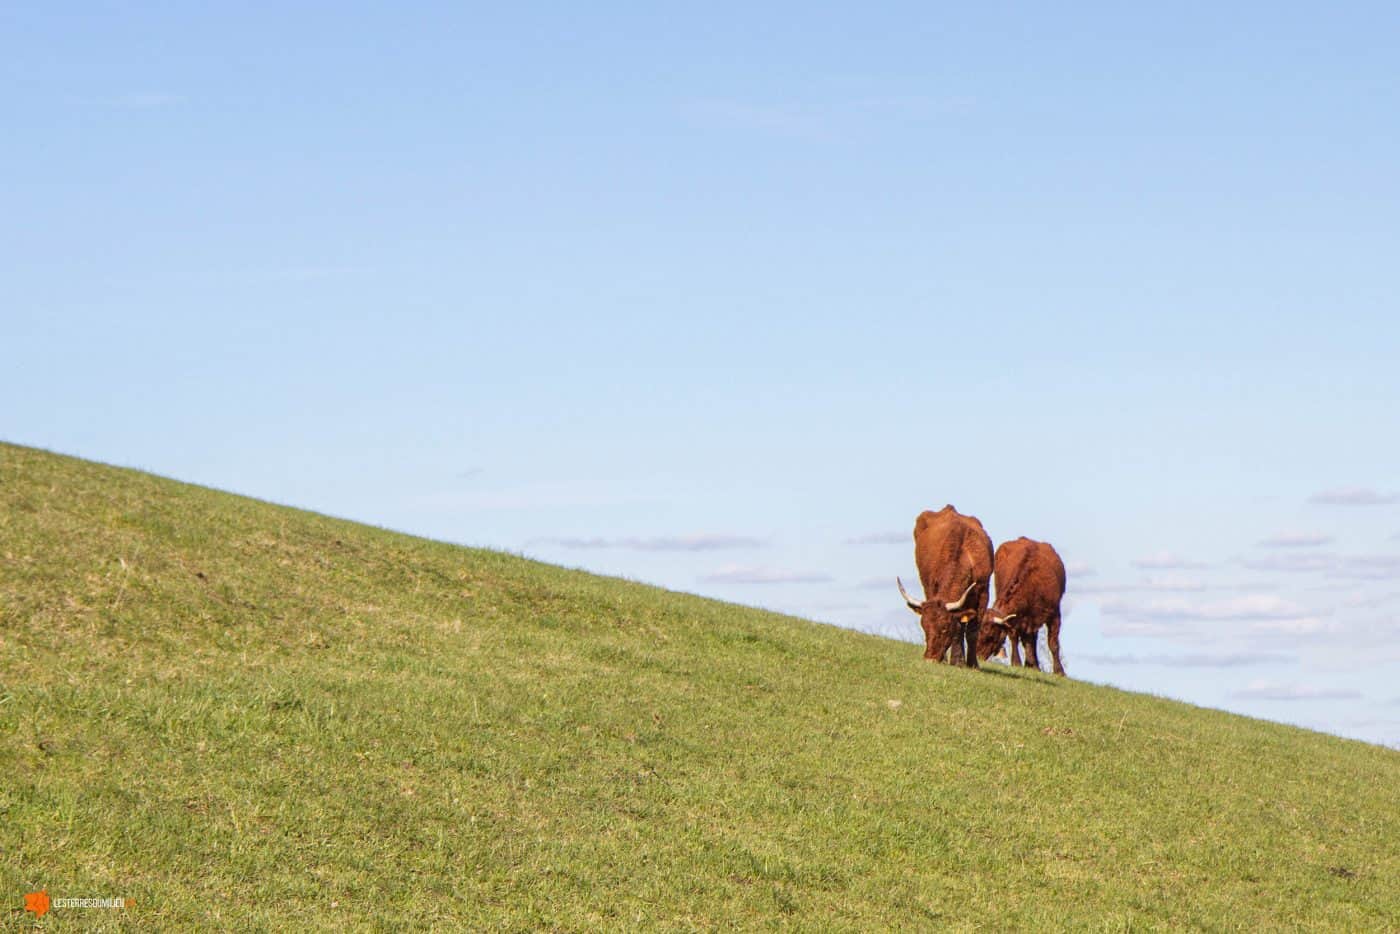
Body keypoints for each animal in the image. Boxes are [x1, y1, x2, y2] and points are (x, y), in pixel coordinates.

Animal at [896, 506, 996, 669]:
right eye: (924, 627)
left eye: (944, 628)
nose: (929, 659)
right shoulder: (932, 586)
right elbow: (959, 629)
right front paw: (957, 661)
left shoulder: (983, 592)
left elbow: (972, 630)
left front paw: (972, 663)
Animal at [980, 537, 1064, 674]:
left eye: (990, 636)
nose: (978, 657)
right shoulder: (1016, 619)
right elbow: (1015, 637)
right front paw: (1018, 662)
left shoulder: (1054, 614)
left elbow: (1053, 643)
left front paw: (1059, 671)